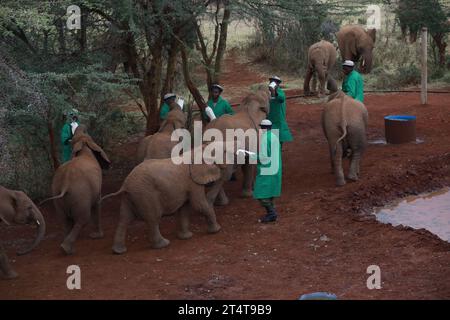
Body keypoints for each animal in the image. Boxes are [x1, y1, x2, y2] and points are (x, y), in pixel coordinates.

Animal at [40, 125, 110, 255]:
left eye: (85, 133)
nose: (75, 123)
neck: (83, 147)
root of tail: (65, 183)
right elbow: (97, 204)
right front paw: (97, 236)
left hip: (57, 194)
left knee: (64, 220)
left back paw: (66, 247)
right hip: (81, 194)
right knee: (83, 218)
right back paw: (67, 250)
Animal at [100, 141, 237, 254]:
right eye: (224, 152)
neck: (199, 149)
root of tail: (125, 185)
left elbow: (184, 208)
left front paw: (186, 237)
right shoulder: (193, 182)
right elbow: (199, 205)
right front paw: (216, 230)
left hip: (131, 196)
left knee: (124, 219)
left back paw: (118, 251)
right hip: (146, 194)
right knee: (153, 218)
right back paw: (163, 244)